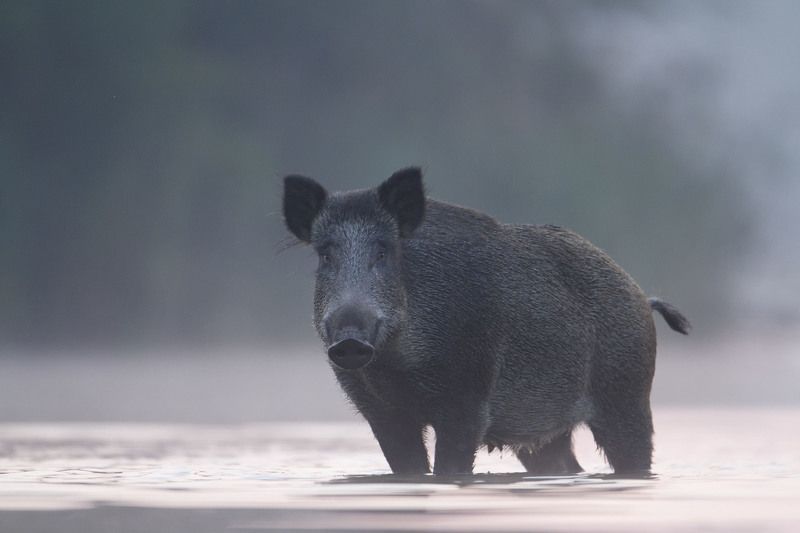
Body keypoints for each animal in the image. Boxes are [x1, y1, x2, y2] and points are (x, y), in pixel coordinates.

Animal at [282, 167, 690, 476]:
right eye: (325, 255)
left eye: (384, 251)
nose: (350, 340)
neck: (398, 366)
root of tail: (642, 296)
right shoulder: (381, 413)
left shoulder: (468, 399)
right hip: (545, 433)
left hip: (627, 396)